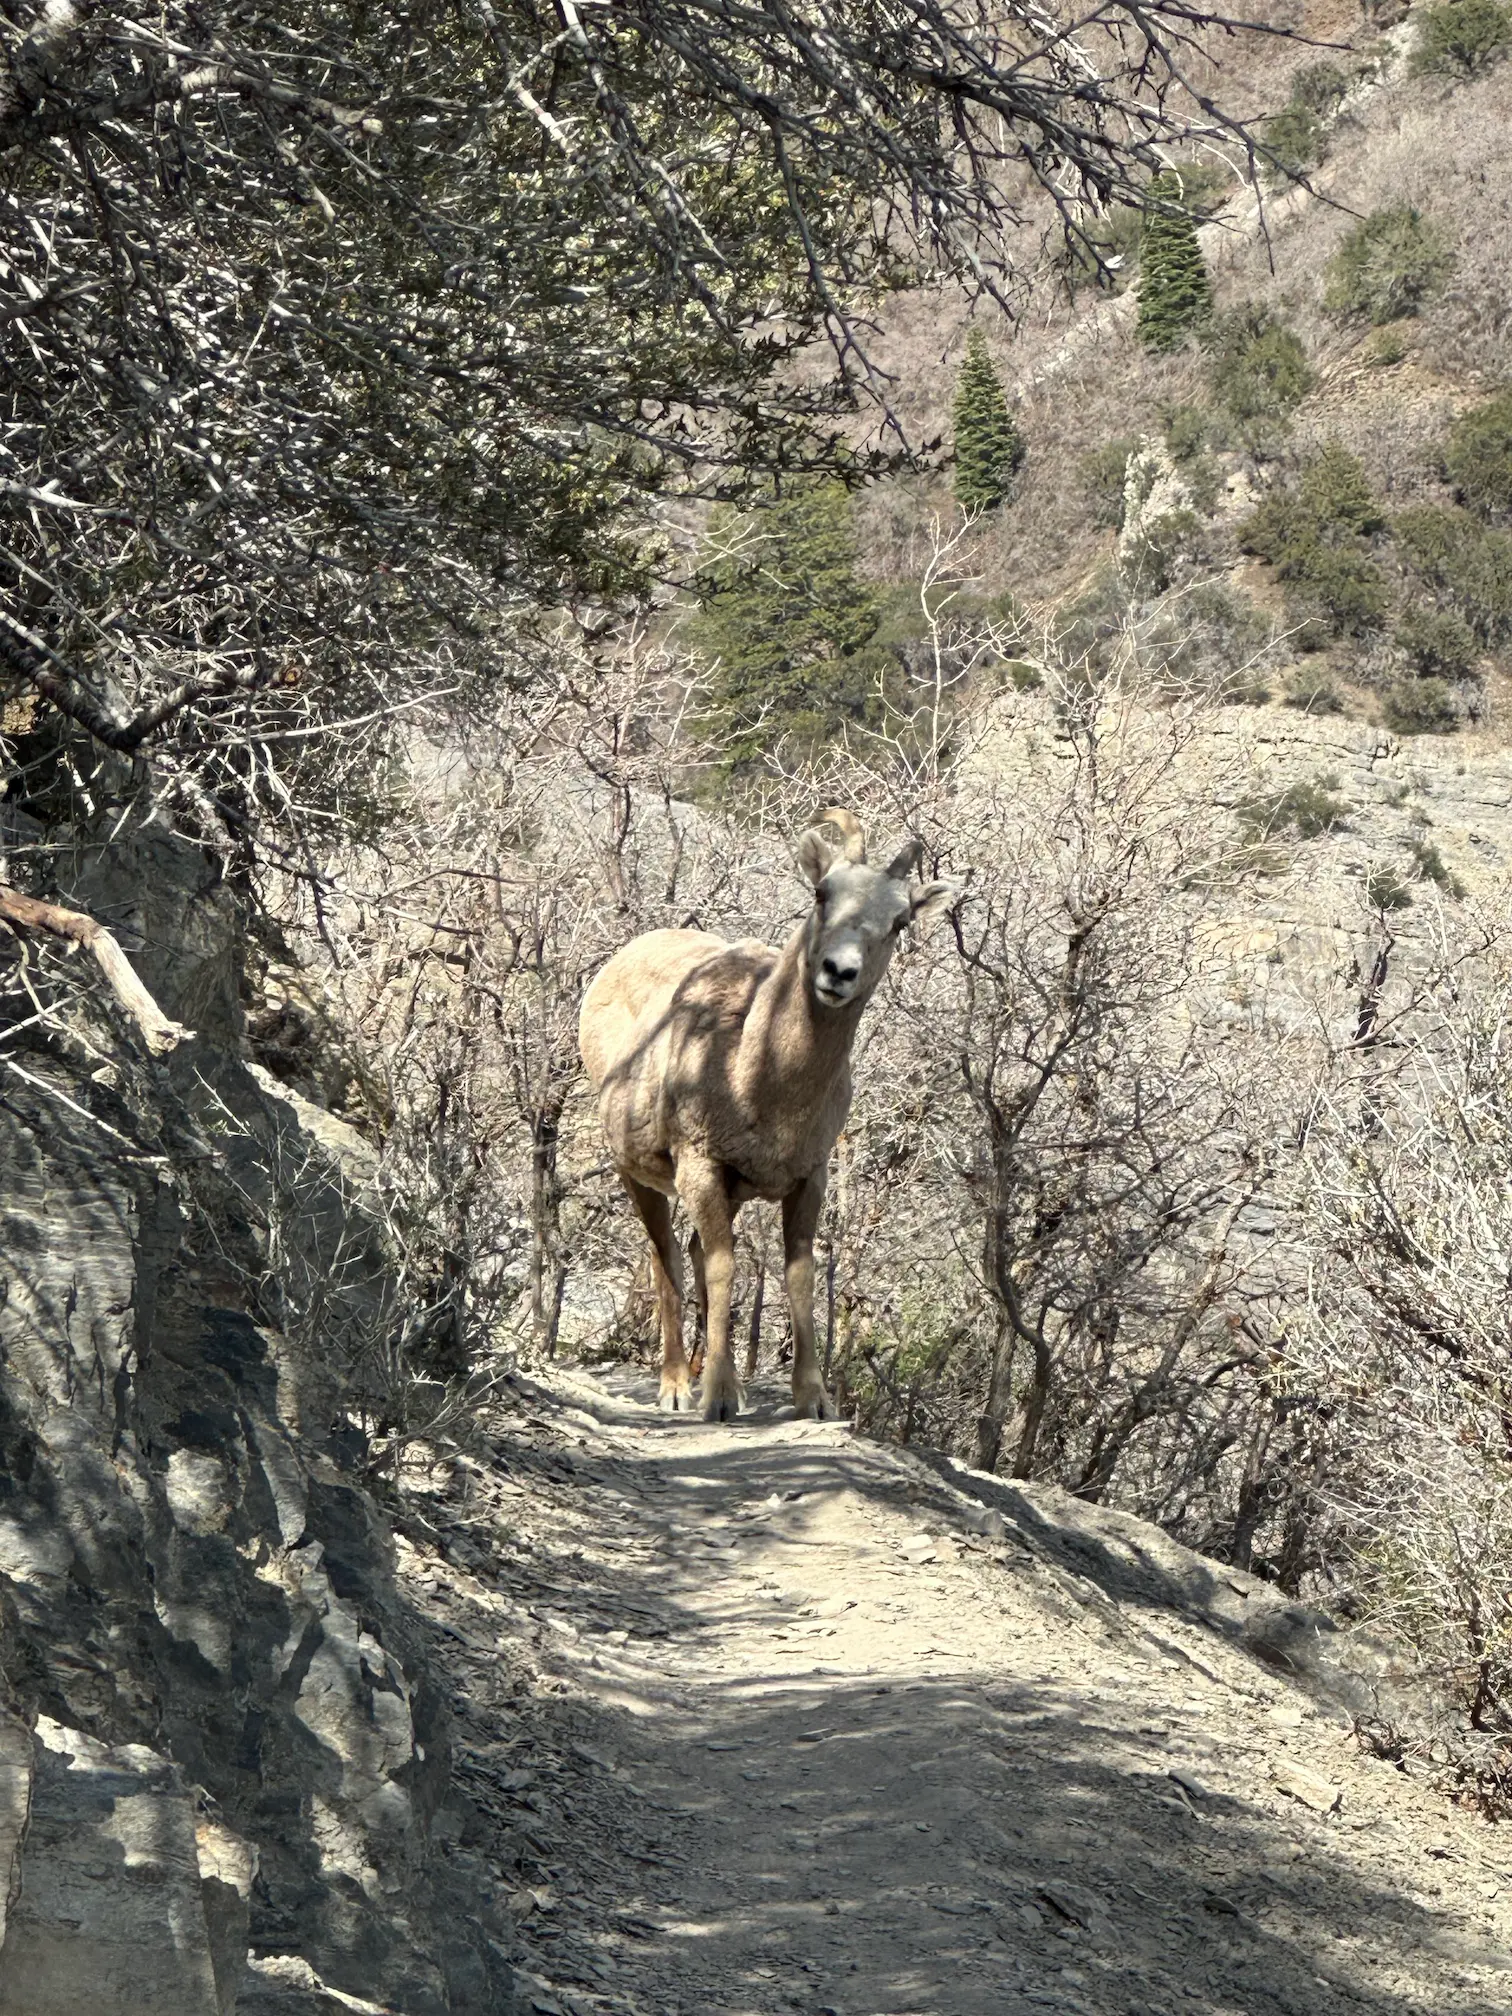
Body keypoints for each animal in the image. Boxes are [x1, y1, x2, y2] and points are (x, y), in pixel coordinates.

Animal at [576, 810, 947, 1427]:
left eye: (899, 921)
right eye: (822, 893)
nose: (838, 972)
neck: (757, 1078)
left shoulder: (807, 1178)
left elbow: (797, 1275)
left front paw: (813, 1400)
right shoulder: (702, 1166)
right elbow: (723, 1268)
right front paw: (720, 1398)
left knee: (688, 1254)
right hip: (639, 1175)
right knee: (668, 1258)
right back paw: (677, 1387)